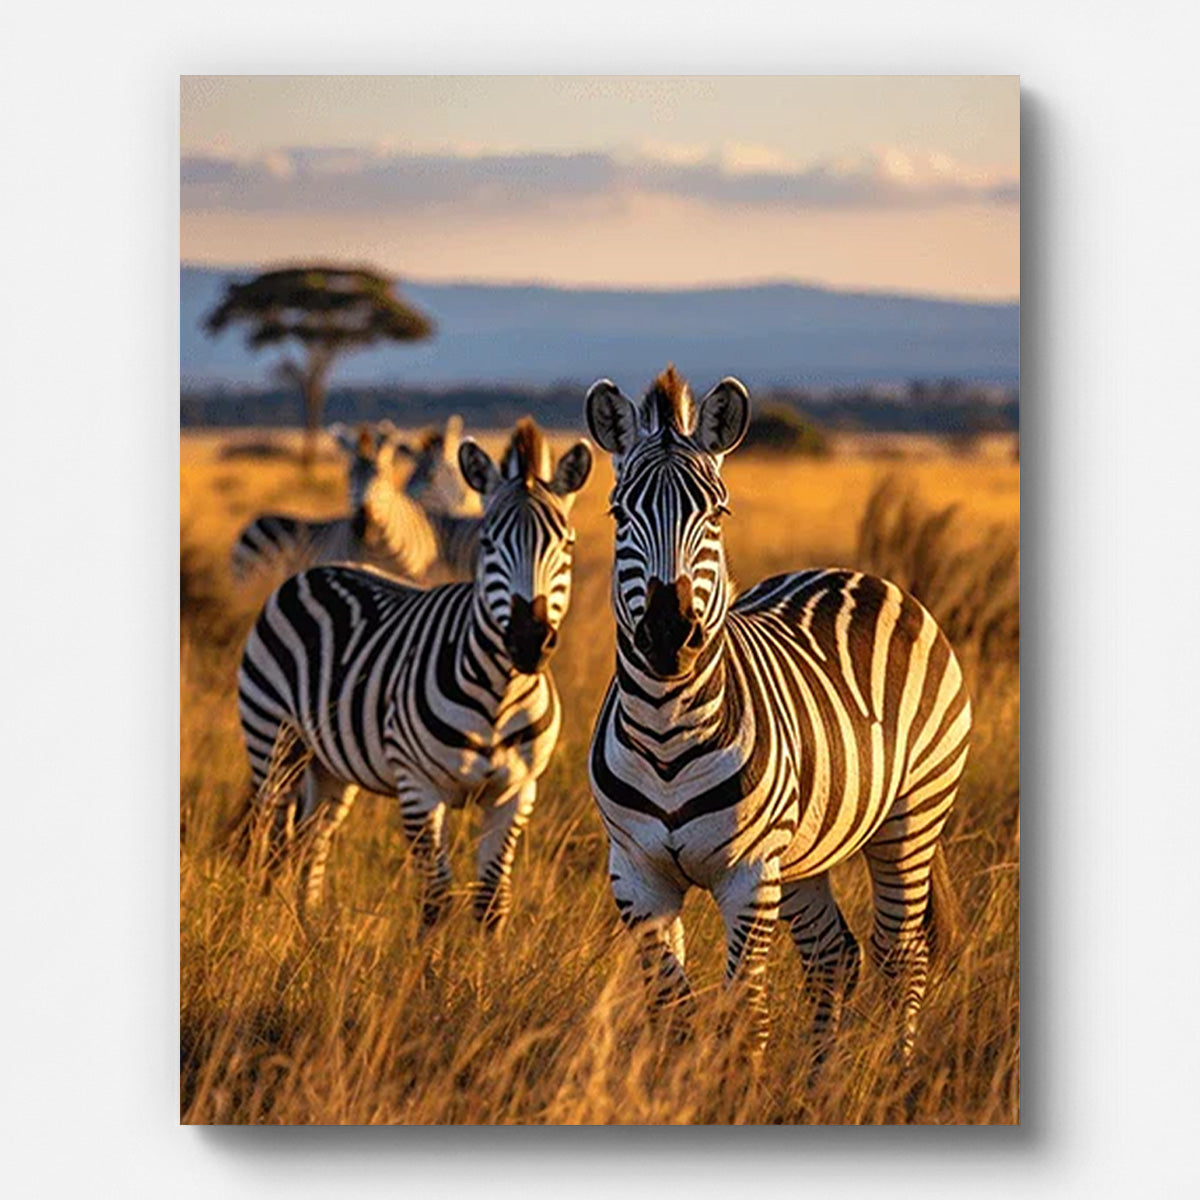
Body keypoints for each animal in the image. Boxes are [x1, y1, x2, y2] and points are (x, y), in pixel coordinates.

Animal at [236, 418, 593, 928]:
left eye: (566, 543)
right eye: (487, 543)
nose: (529, 640)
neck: (500, 694)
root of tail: (320, 568)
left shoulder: (516, 794)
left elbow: (492, 900)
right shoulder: (419, 789)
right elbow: (436, 899)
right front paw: (431, 955)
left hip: (329, 765)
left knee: (313, 837)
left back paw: (307, 923)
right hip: (273, 739)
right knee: (271, 834)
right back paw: (264, 919)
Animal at [584, 367, 971, 1066]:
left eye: (716, 513)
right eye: (619, 513)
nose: (668, 634)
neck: (665, 730)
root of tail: (858, 574)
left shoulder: (748, 876)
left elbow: (745, 1012)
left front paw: (736, 1083)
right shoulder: (636, 877)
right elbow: (672, 1011)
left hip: (913, 814)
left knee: (901, 953)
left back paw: (897, 1073)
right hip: (805, 852)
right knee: (833, 955)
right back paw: (819, 1078)